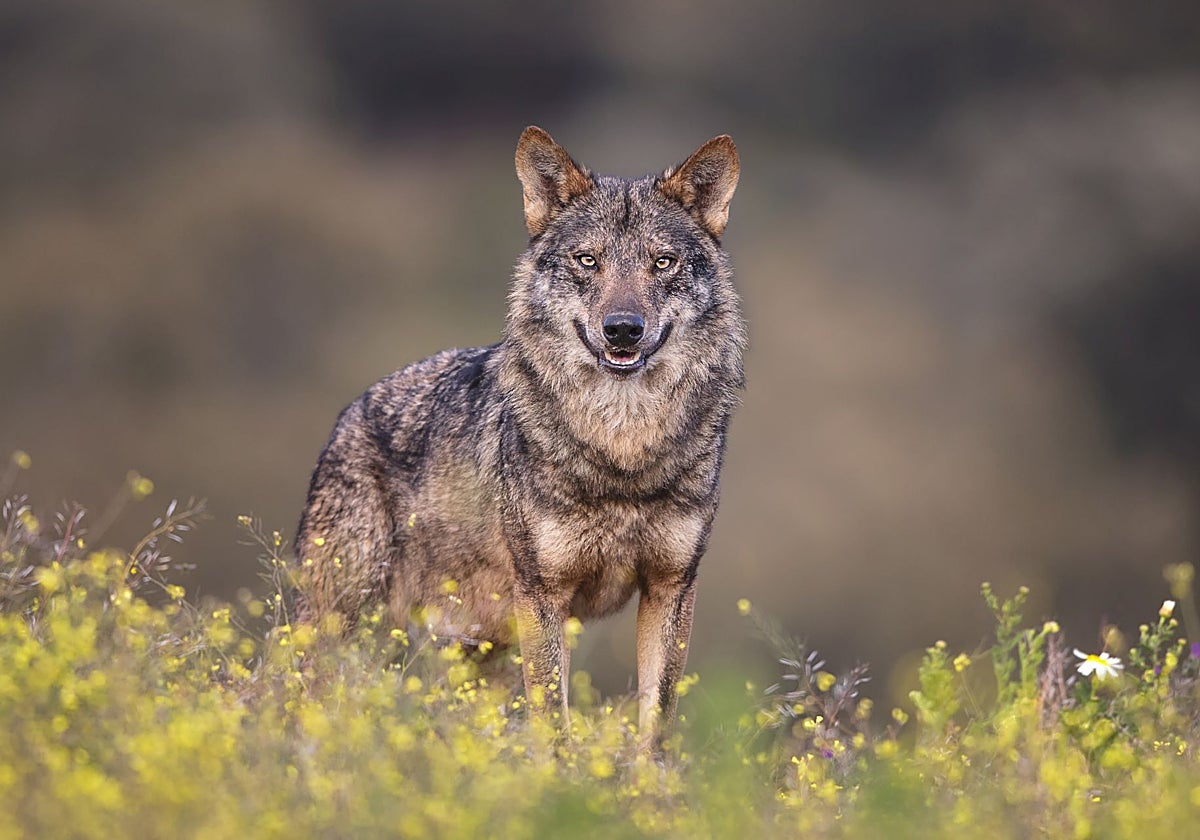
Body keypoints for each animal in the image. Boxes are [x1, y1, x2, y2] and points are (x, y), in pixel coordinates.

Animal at [296, 126, 744, 748]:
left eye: (663, 262)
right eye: (587, 261)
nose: (622, 330)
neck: (622, 451)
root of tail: (350, 411)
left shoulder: (671, 586)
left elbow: (655, 726)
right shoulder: (543, 594)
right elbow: (553, 723)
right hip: (342, 625)